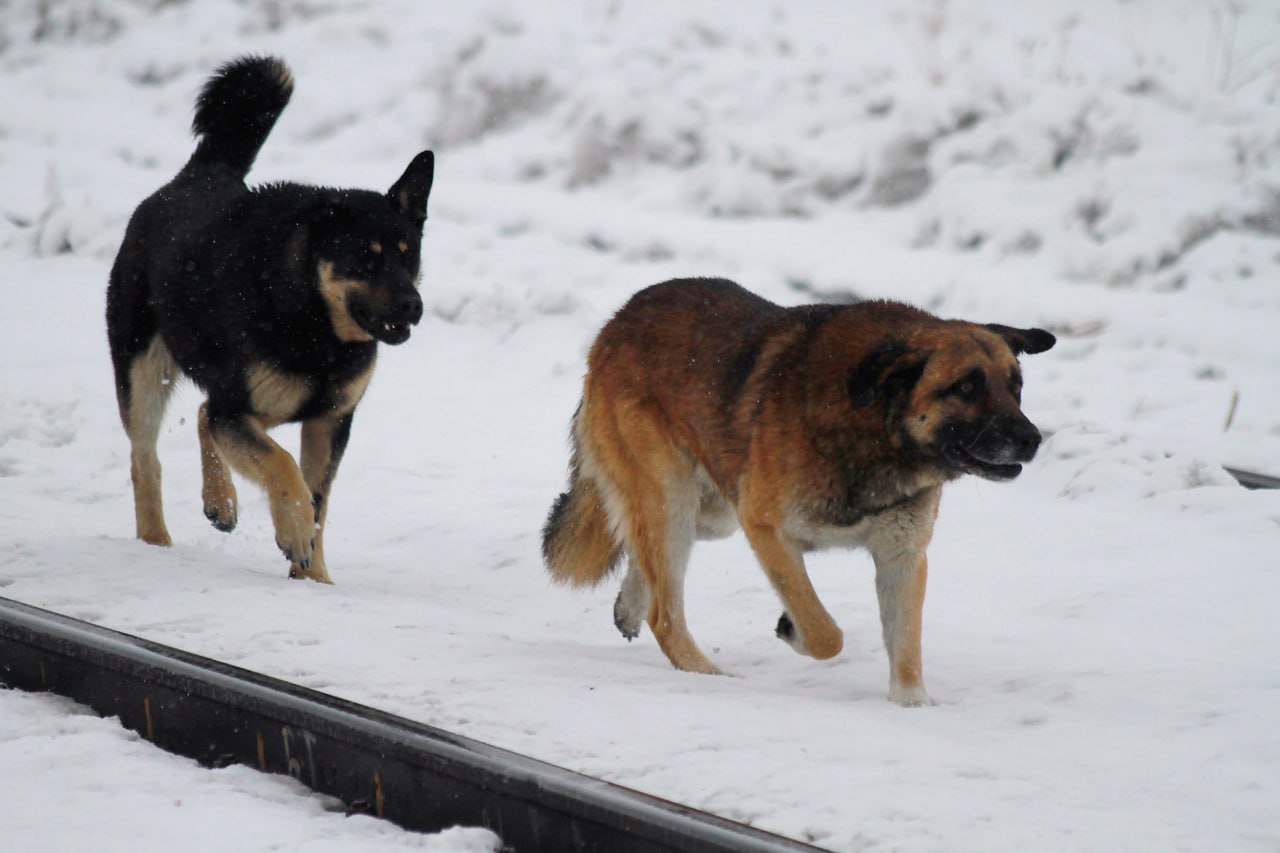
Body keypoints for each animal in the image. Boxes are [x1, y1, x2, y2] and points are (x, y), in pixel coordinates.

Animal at [107, 56, 435, 581]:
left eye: (409, 256)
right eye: (365, 259)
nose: (413, 306)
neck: (316, 325)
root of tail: (199, 175)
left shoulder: (329, 420)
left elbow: (319, 498)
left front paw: (314, 577)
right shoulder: (242, 408)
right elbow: (283, 465)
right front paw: (294, 532)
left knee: (203, 414)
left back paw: (220, 502)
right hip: (143, 370)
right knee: (146, 457)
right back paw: (155, 541)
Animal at [545, 275, 1054, 701]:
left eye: (1016, 386)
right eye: (966, 388)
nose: (1032, 439)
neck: (874, 426)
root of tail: (618, 320)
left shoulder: (902, 555)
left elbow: (906, 645)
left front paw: (912, 705)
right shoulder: (767, 529)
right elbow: (825, 633)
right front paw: (793, 629)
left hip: (710, 512)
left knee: (641, 551)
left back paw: (631, 605)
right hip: (674, 498)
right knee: (665, 614)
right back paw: (708, 675)